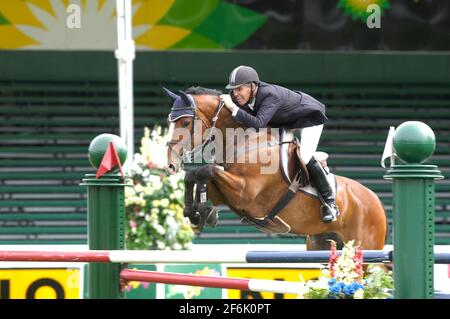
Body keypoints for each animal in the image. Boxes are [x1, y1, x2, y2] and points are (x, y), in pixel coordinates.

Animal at [165, 86, 386, 251]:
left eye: (186, 122)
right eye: (169, 121)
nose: (170, 164)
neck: (246, 142)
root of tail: (376, 201)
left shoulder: (244, 191)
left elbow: (205, 171)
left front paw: (202, 211)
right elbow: (195, 174)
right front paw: (196, 213)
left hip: (363, 246)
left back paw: (329, 208)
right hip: (321, 242)